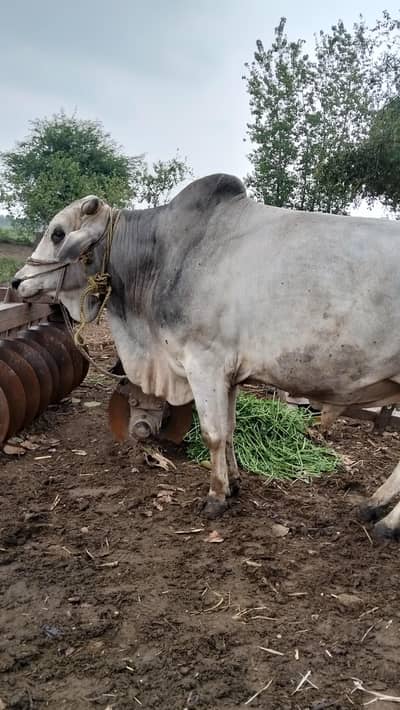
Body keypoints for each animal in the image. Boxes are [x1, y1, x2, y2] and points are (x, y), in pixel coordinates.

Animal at [11, 173, 400, 537]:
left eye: (58, 233)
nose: (16, 282)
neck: (167, 255)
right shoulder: (230, 375)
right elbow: (228, 430)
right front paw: (234, 484)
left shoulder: (204, 364)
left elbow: (212, 433)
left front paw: (215, 497)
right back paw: (371, 506)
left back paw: (387, 523)